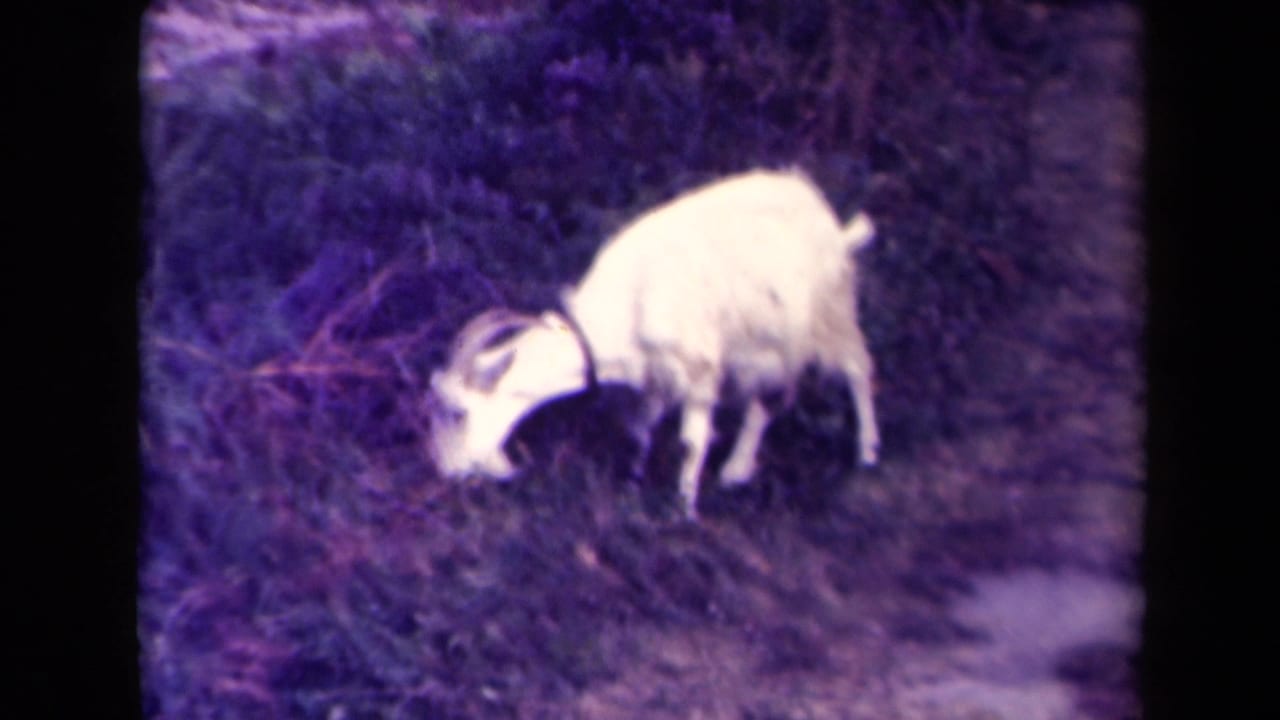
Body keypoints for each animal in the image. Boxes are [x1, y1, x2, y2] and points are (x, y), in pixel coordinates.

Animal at [426, 168, 880, 518]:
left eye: (457, 412)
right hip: (769, 340)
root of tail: (829, 219)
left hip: (830, 313)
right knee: (766, 399)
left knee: (857, 368)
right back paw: (737, 469)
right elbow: (641, 427)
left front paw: (683, 510)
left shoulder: (698, 370)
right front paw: (634, 478)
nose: (450, 472)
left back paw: (867, 451)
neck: (626, 305)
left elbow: (693, 442)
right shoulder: (652, 375)